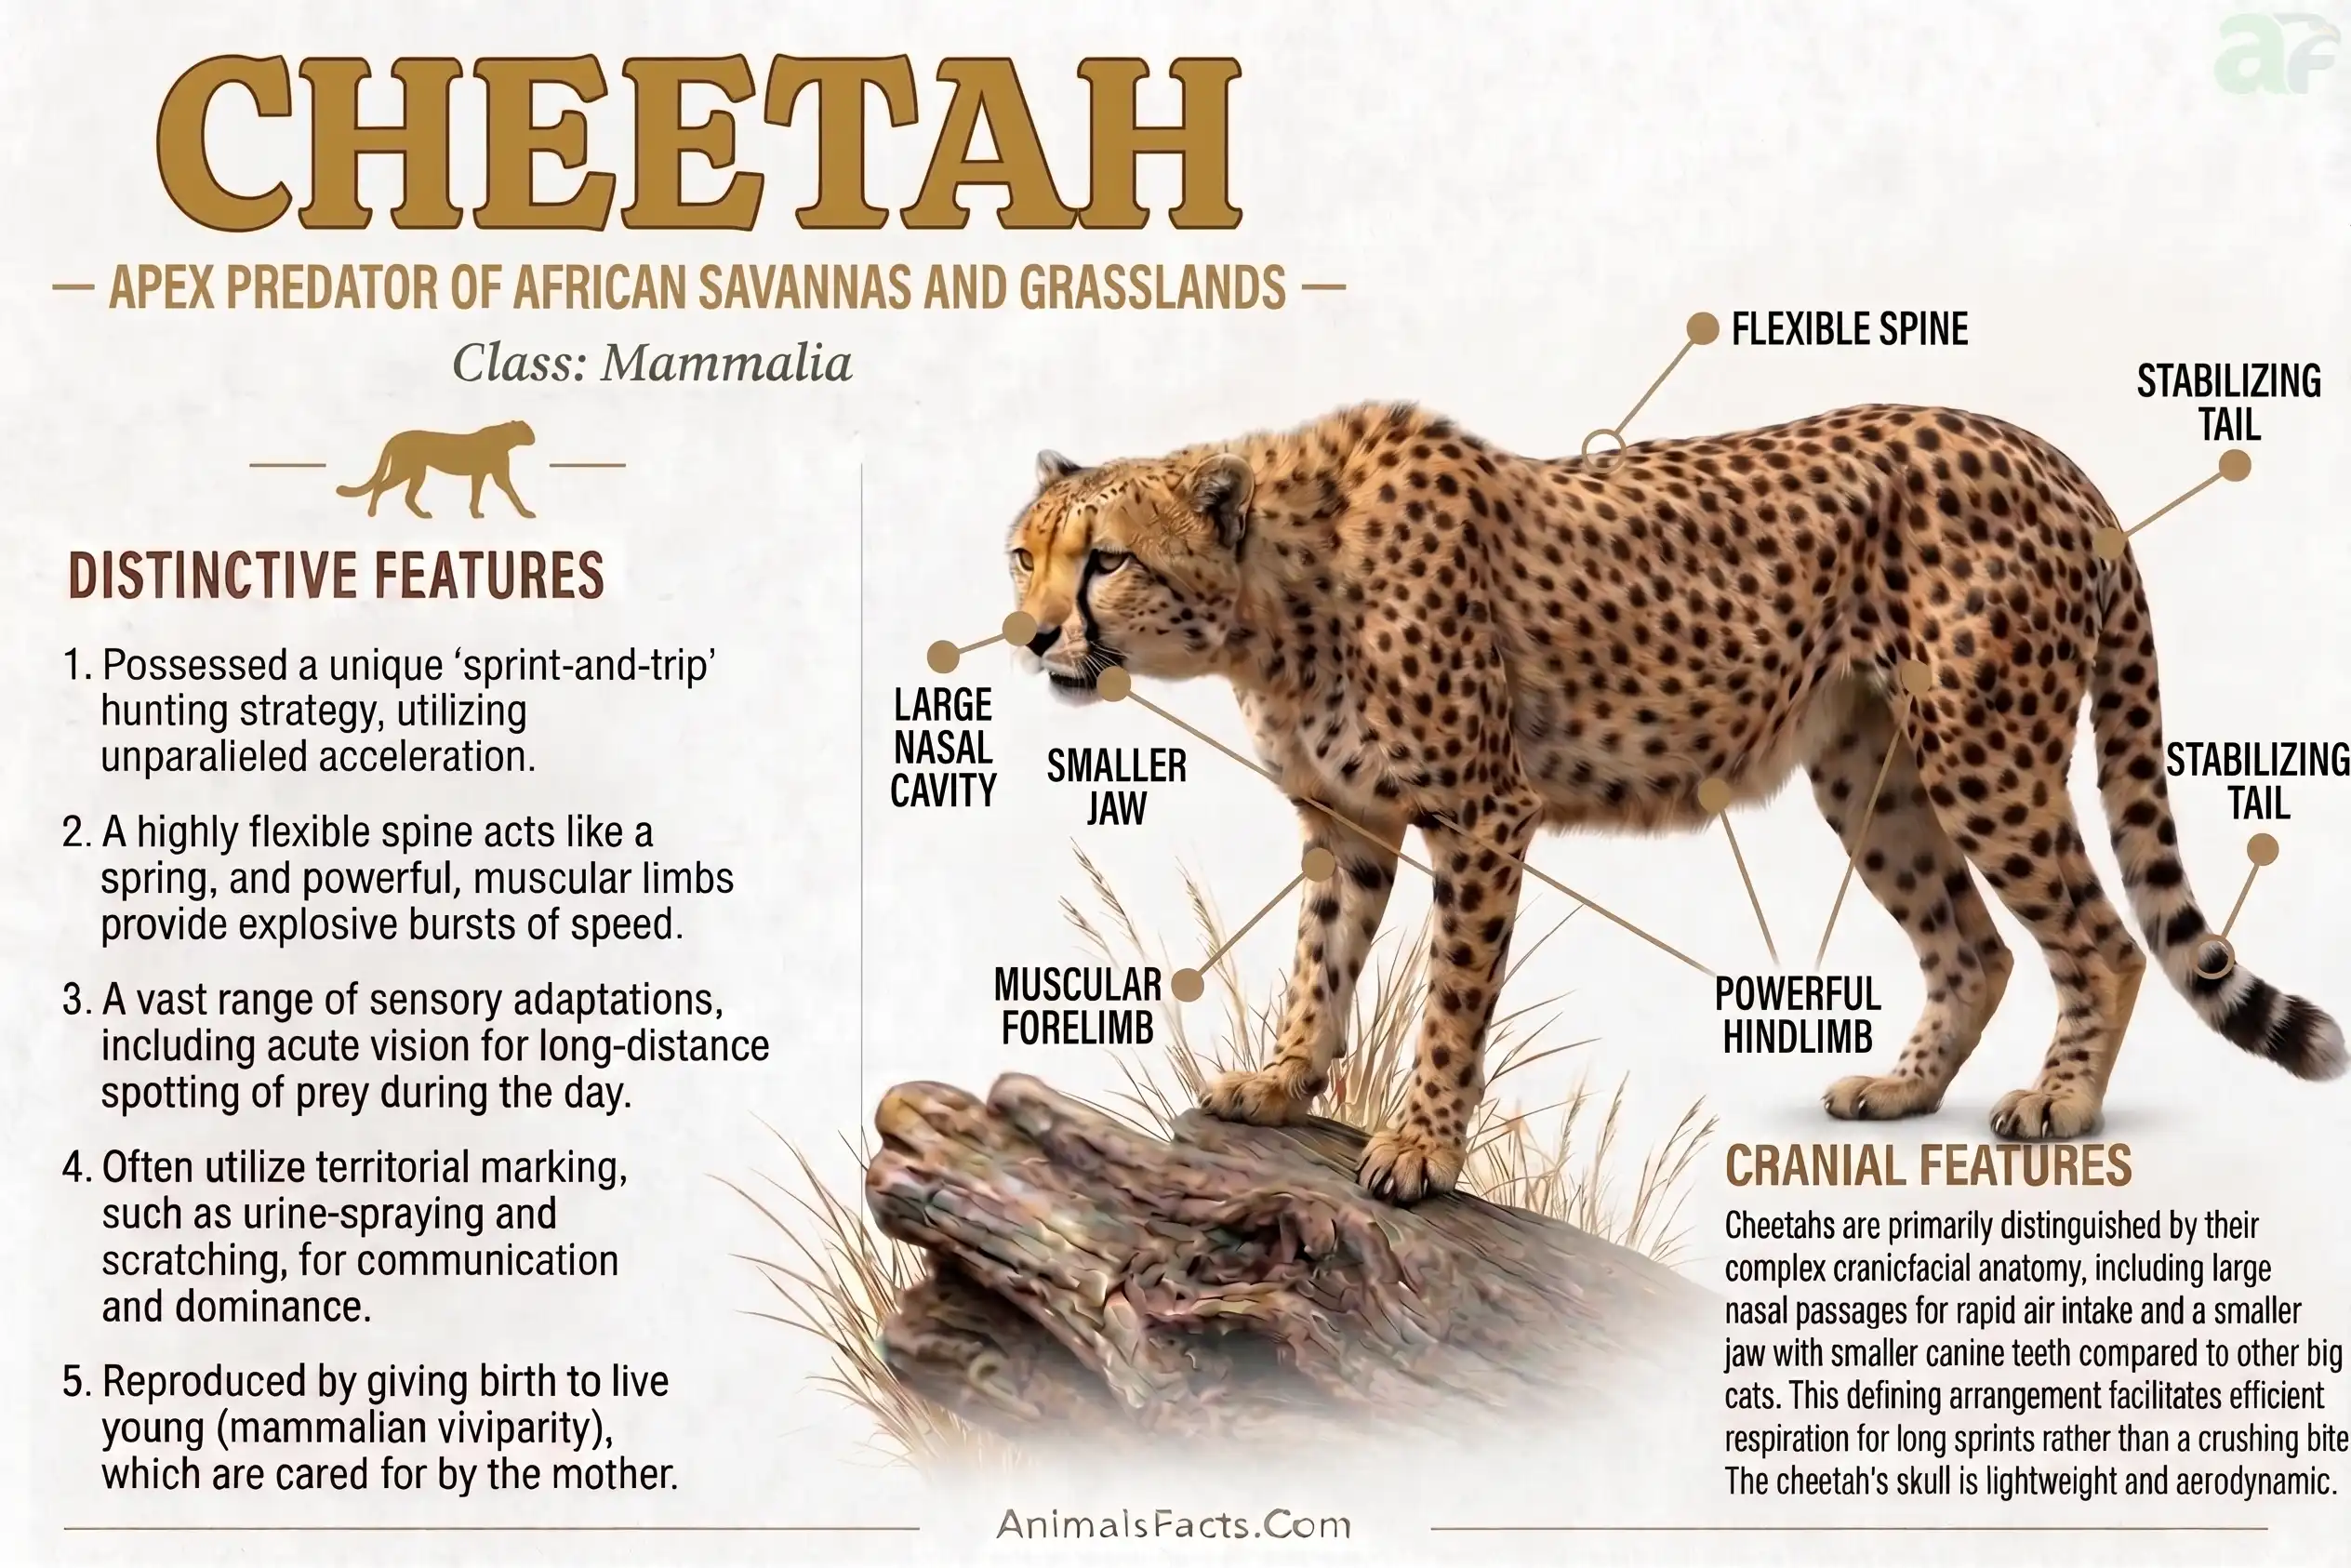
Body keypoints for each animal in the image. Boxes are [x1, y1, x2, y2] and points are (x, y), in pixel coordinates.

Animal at [1003, 402, 2343, 1202]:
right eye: (1023, 554)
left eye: (1105, 560)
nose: (1025, 637)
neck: (1274, 601)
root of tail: (2046, 450)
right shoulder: (1347, 822)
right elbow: (1317, 963)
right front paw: (1282, 1085)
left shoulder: (1484, 814)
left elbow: (1449, 1001)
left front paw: (1422, 1145)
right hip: (1869, 771)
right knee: (1974, 946)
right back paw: (1903, 1089)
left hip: (1984, 748)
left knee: (2100, 940)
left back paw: (2060, 1100)